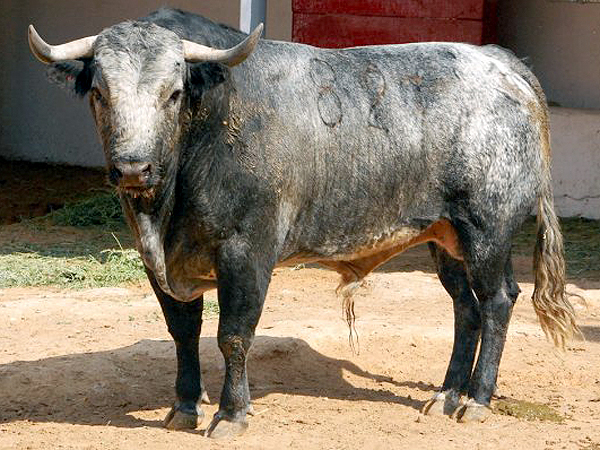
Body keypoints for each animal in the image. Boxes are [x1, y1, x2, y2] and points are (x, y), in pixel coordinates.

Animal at [28, 8, 579, 438]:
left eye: (175, 92)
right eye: (100, 91)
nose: (133, 168)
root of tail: (499, 62)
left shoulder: (246, 252)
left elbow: (233, 334)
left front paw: (231, 415)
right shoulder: (159, 261)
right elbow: (183, 333)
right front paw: (184, 407)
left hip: (487, 230)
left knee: (497, 302)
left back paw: (476, 401)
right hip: (445, 237)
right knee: (466, 308)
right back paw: (445, 394)